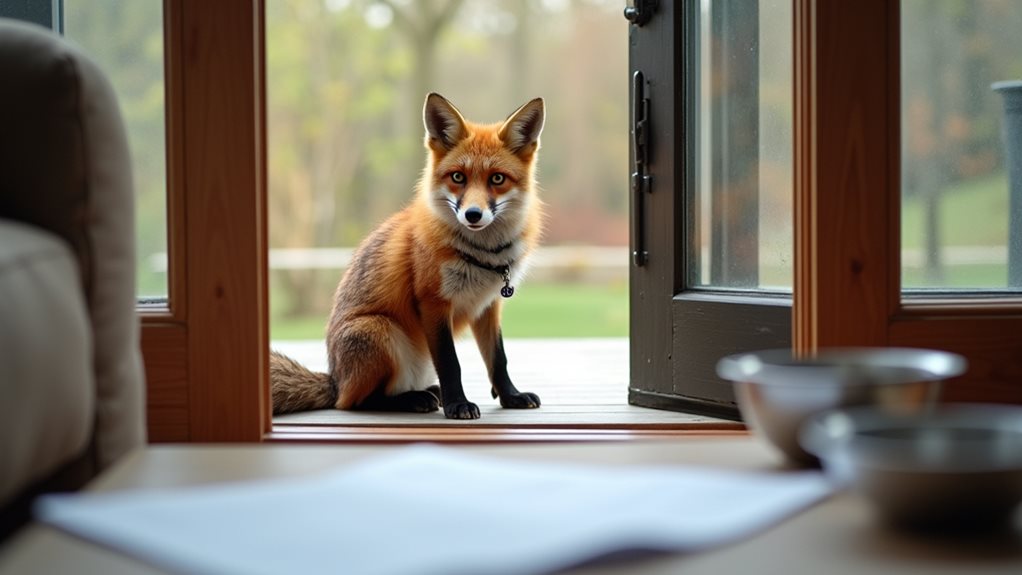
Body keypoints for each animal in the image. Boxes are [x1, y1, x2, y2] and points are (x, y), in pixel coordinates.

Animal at [270, 93, 545, 419]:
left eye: (497, 179)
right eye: (458, 177)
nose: (473, 214)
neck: (483, 255)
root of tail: (335, 379)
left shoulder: (488, 306)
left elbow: (498, 359)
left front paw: (510, 395)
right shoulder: (432, 302)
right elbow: (451, 364)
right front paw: (457, 404)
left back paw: (428, 392)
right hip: (379, 331)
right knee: (356, 402)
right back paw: (414, 399)